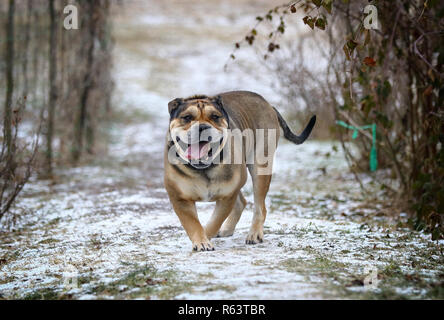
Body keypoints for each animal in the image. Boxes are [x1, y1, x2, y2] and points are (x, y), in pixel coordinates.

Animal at [164, 90, 316, 252]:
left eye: (215, 116)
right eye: (187, 117)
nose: (203, 127)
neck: (204, 167)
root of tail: (268, 104)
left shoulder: (227, 196)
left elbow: (215, 221)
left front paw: (206, 236)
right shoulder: (180, 199)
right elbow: (192, 223)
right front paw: (201, 241)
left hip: (260, 170)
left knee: (259, 207)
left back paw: (254, 234)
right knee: (242, 202)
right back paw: (227, 229)